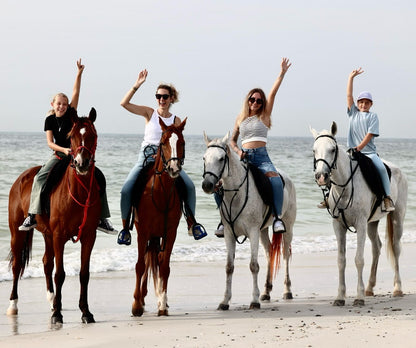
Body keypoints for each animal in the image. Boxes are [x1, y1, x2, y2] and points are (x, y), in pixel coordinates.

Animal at [6, 107, 101, 324]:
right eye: (71, 137)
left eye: (93, 135)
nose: (81, 163)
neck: (78, 192)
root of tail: (20, 179)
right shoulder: (59, 236)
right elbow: (60, 274)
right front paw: (58, 314)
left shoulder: (89, 236)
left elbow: (84, 274)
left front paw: (86, 312)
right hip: (18, 233)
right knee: (17, 265)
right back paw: (13, 305)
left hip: (47, 234)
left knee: (46, 263)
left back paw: (51, 300)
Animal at [132, 118, 187, 316]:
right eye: (163, 143)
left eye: (182, 142)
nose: (173, 168)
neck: (160, 193)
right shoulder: (143, 232)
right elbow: (140, 265)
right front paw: (136, 305)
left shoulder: (170, 233)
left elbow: (164, 266)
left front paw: (162, 303)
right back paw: (141, 299)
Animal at [202, 133, 296, 310]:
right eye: (204, 158)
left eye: (221, 158)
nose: (207, 185)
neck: (235, 195)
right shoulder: (229, 234)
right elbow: (229, 267)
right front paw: (225, 301)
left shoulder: (252, 232)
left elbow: (253, 266)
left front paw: (254, 300)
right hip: (263, 230)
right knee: (269, 253)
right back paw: (266, 292)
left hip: (288, 227)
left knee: (286, 255)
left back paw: (287, 291)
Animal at [312, 123, 406, 308]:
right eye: (314, 150)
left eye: (332, 149)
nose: (321, 177)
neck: (345, 186)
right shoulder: (339, 226)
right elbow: (341, 260)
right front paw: (340, 297)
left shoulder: (360, 224)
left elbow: (359, 259)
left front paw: (359, 297)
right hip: (372, 223)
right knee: (377, 247)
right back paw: (370, 287)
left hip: (397, 218)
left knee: (396, 248)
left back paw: (397, 288)